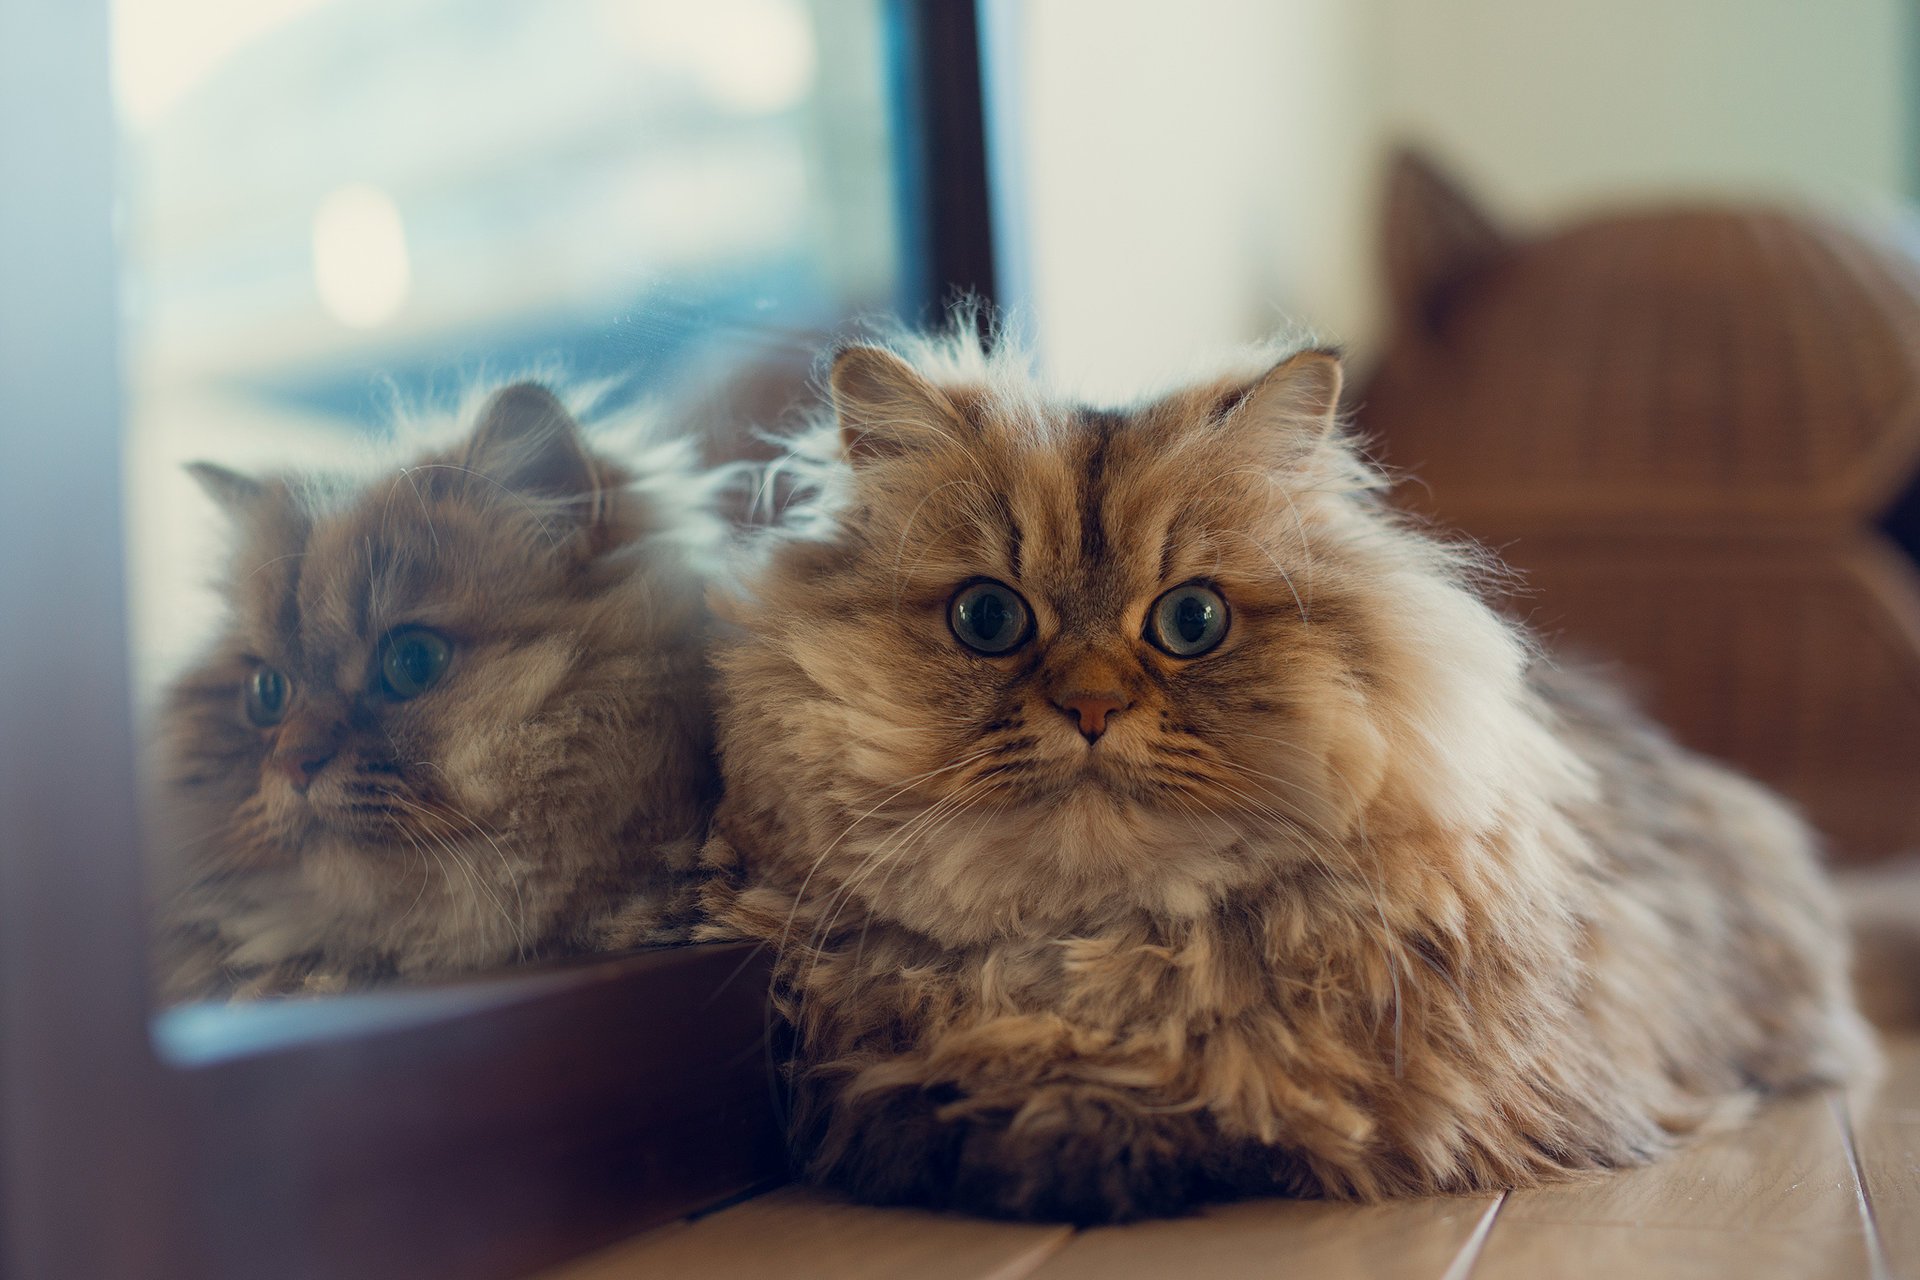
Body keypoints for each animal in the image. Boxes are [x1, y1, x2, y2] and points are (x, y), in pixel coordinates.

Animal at [702, 328, 1873, 1220]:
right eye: (987, 619)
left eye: (1192, 621)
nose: (1091, 708)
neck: (1098, 958)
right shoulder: (848, 1067)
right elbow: (918, 1103)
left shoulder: (1459, 1105)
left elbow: (1242, 1098)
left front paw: (1093, 1133)